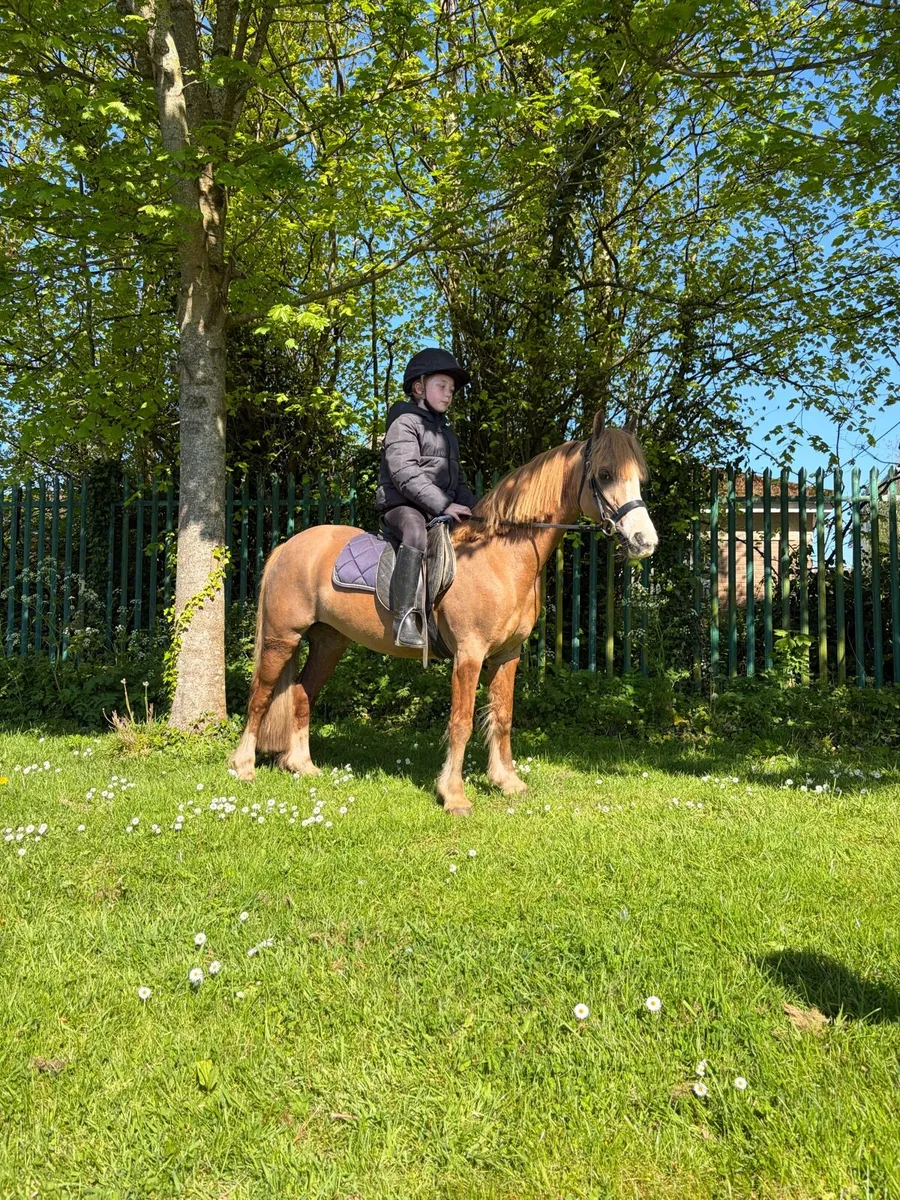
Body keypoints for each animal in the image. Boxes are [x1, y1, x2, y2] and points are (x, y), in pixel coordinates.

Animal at [229, 412, 658, 815]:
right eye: (604, 474)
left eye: (639, 479)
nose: (645, 541)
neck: (499, 558)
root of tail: (288, 547)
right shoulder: (469, 655)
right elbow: (462, 722)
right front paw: (453, 795)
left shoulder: (507, 656)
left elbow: (502, 717)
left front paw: (507, 781)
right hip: (282, 637)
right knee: (260, 695)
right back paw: (243, 766)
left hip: (328, 643)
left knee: (303, 693)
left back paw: (302, 765)